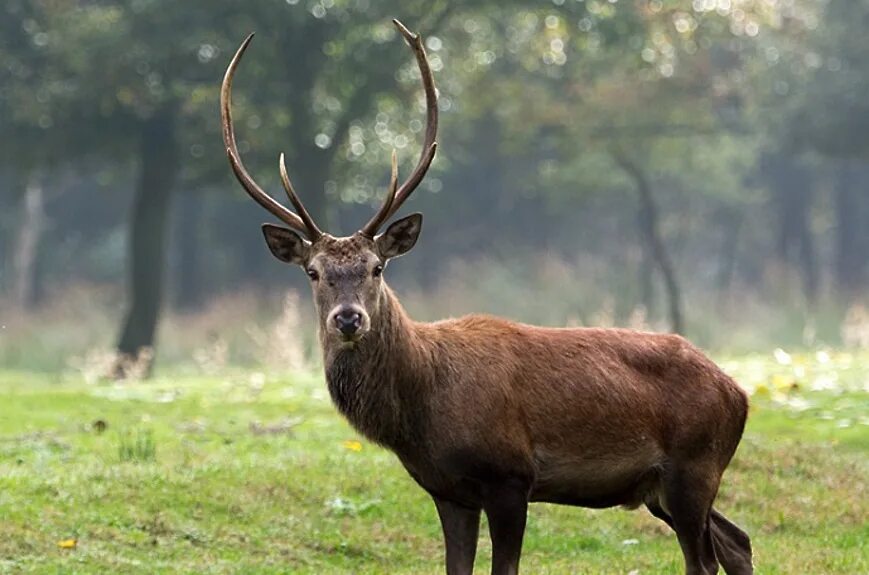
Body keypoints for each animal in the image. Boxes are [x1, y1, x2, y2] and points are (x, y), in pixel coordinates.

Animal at [222, 18, 752, 575]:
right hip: (662, 488)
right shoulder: (448, 490)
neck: (421, 409)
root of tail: (738, 392)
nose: (348, 319)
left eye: (376, 267)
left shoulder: (510, 476)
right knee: (738, 541)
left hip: (694, 467)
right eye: (314, 272)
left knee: (705, 560)